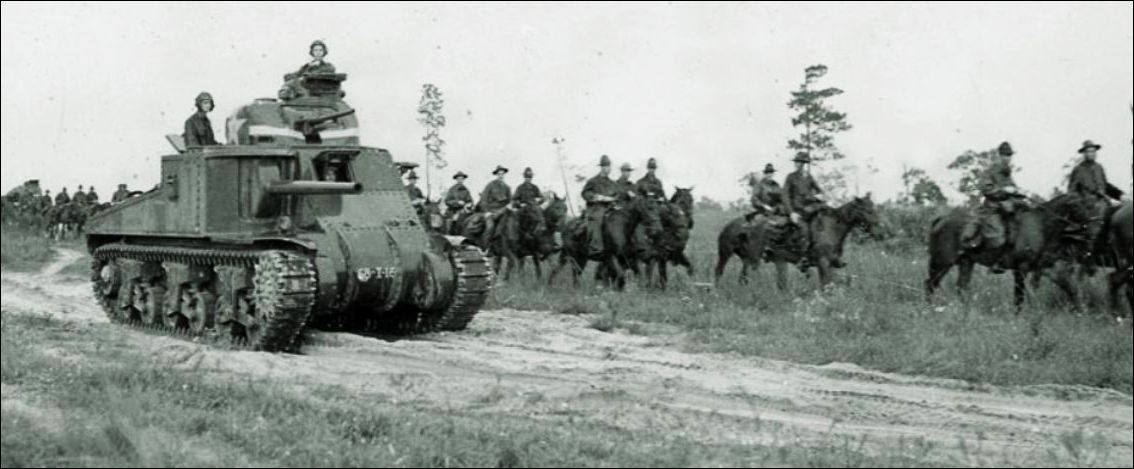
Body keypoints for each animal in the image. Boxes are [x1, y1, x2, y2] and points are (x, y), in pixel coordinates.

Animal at [712, 193, 879, 290]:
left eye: (873, 208)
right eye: (868, 210)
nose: (878, 228)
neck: (831, 227)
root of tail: (731, 225)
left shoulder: (830, 263)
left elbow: (832, 282)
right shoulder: (823, 262)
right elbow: (826, 284)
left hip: (748, 259)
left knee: (743, 278)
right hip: (730, 254)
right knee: (720, 271)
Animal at [925, 192, 1093, 310]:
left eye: (1088, 205)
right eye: (1079, 206)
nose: (1089, 227)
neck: (1040, 226)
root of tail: (941, 220)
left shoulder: (1047, 268)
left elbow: (1069, 287)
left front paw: (1080, 310)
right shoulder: (1021, 269)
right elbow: (1019, 296)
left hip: (966, 263)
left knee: (961, 287)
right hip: (943, 262)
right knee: (930, 284)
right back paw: (928, 310)